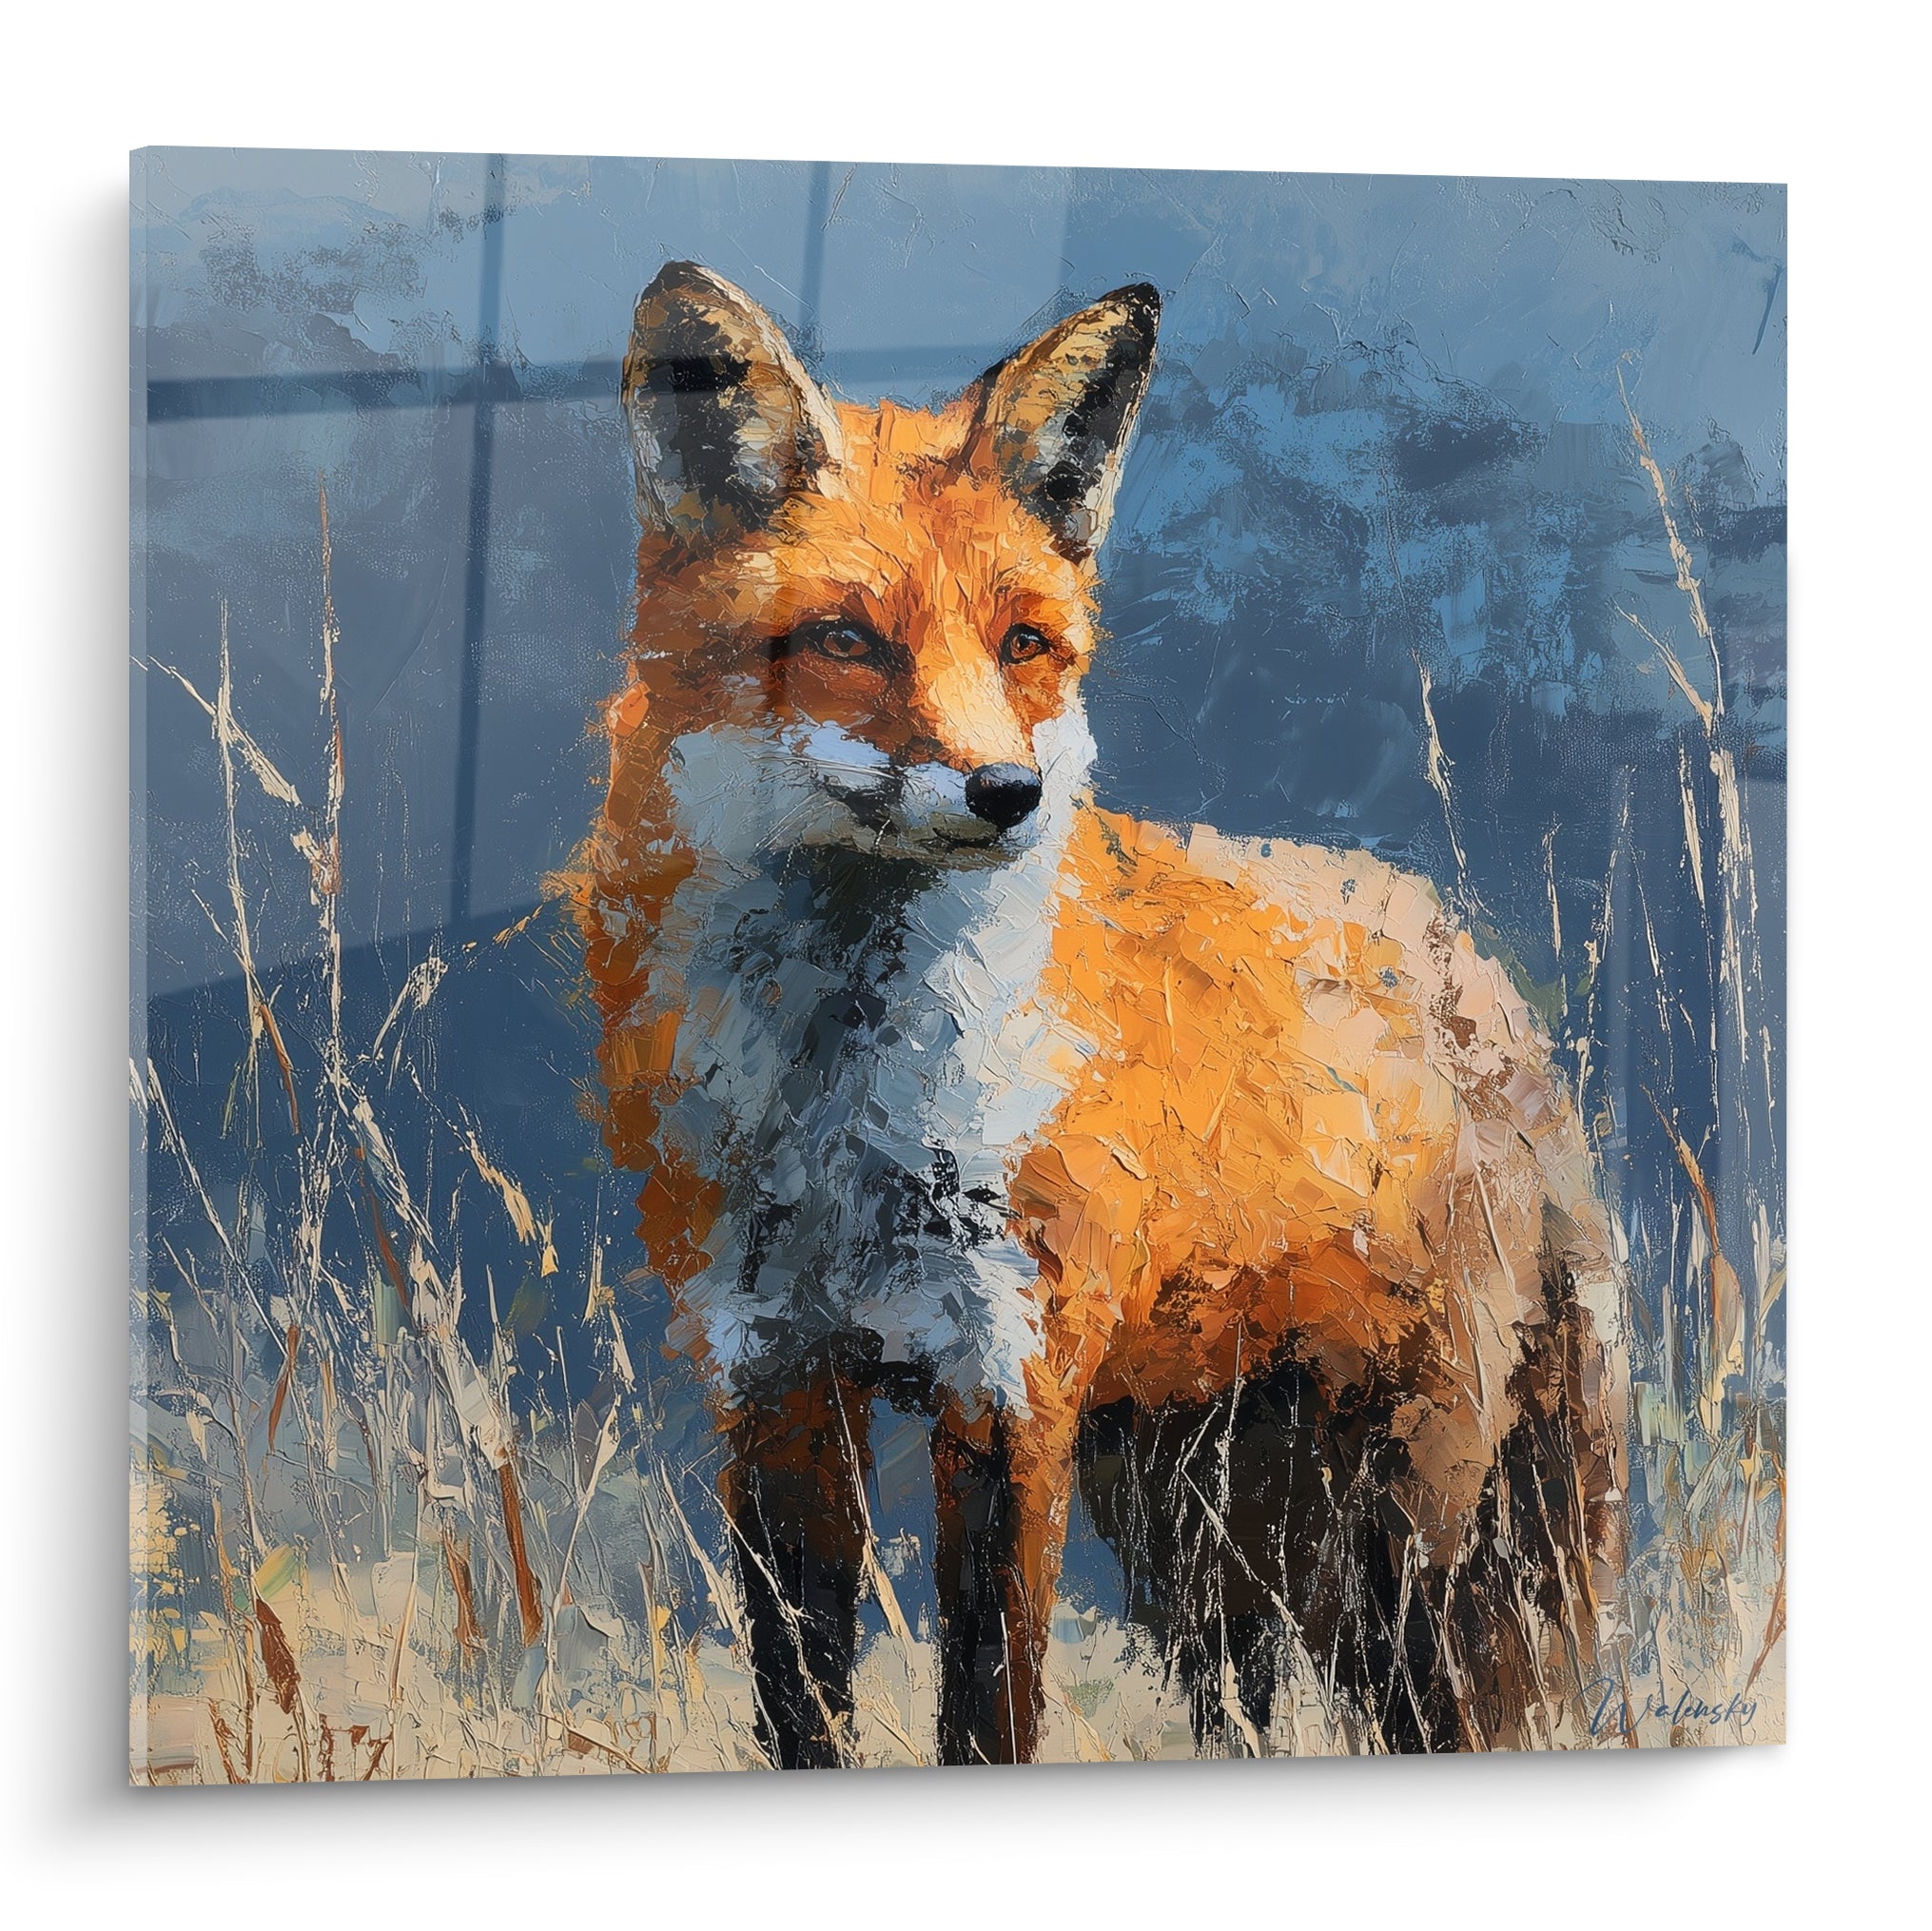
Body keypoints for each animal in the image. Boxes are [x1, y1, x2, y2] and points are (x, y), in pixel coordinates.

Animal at [569, 260, 1629, 1767]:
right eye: (843, 641)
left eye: (1025, 644)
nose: (1006, 794)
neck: (842, 1113)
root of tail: (1486, 988)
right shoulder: (772, 1385)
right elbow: (802, 1707)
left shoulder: (1012, 1386)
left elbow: (985, 1710)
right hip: (1200, 1553)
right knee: (1244, 1723)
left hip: (1393, 1550)